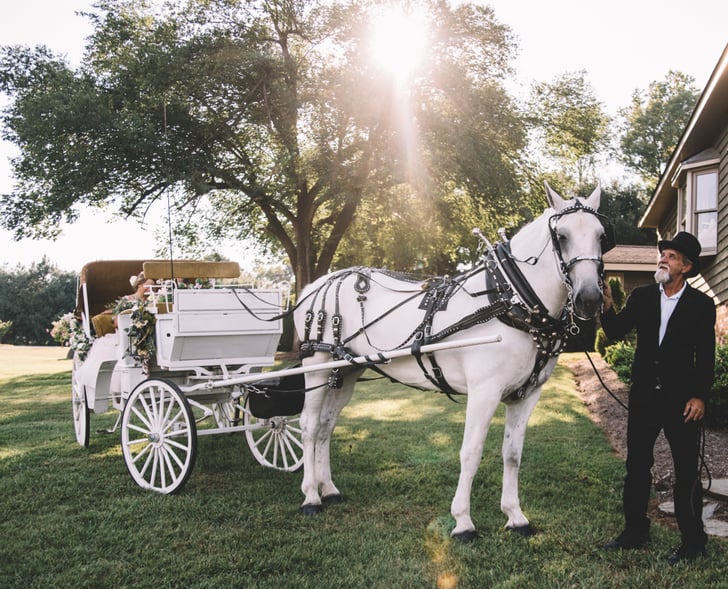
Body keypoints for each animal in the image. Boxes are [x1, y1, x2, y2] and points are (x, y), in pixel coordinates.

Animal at [290, 183, 608, 536]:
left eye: (601, 235)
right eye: (562, 236)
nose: (589, 298)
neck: (511, 302)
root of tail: (315, 284)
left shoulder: (526, 395)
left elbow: (512, 454)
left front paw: (515, 515)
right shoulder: (484, 392)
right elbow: (471, 452)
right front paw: (463, 521)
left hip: (346, 371)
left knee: (326, 426)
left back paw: (328, 489)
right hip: (317, 365)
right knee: (309, 426)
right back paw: (310, 496)